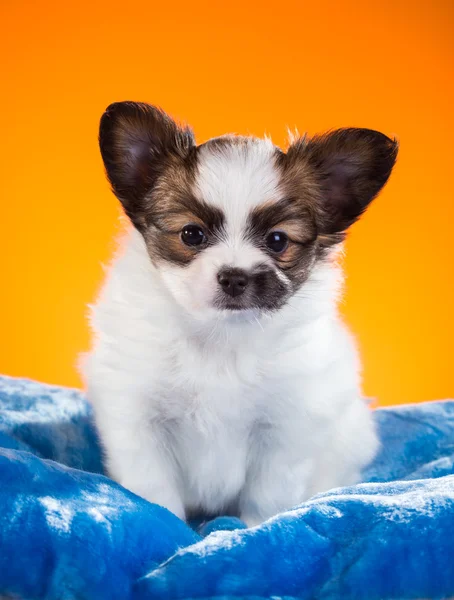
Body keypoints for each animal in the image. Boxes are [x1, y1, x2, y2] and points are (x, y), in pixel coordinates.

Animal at [81, 102, 398, 524]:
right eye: (191, 234)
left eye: (277, 241)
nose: (234, 277)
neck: (221, 337)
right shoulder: (138, 416)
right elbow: (154, 487)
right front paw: (168, 526)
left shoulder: (285, 426)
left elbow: (266, 495)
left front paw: (251, 530)